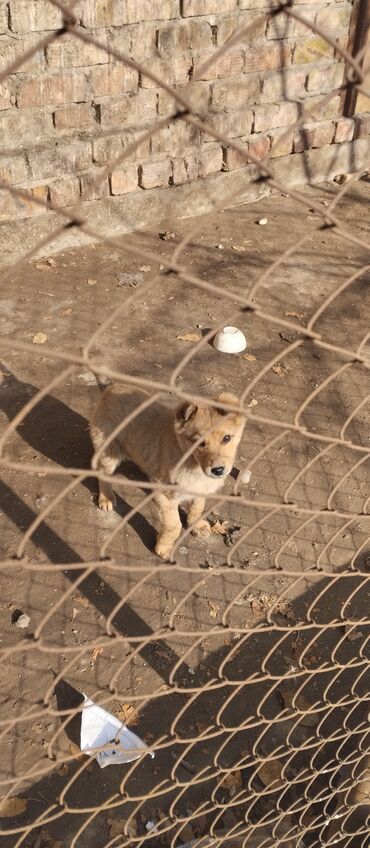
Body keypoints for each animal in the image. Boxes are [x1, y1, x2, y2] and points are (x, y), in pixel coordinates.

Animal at [89, 386, 246, 560]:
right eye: (198, 443)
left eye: (227, 438)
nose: (218, 470)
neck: (191, 462)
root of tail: (112, 387)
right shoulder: (165, 494)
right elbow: (174, 524)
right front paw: (164, 547)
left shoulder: (199, 488)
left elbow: (198, 506)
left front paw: (196, 524)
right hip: (109, 452)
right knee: (103, 475)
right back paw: (106, 498)